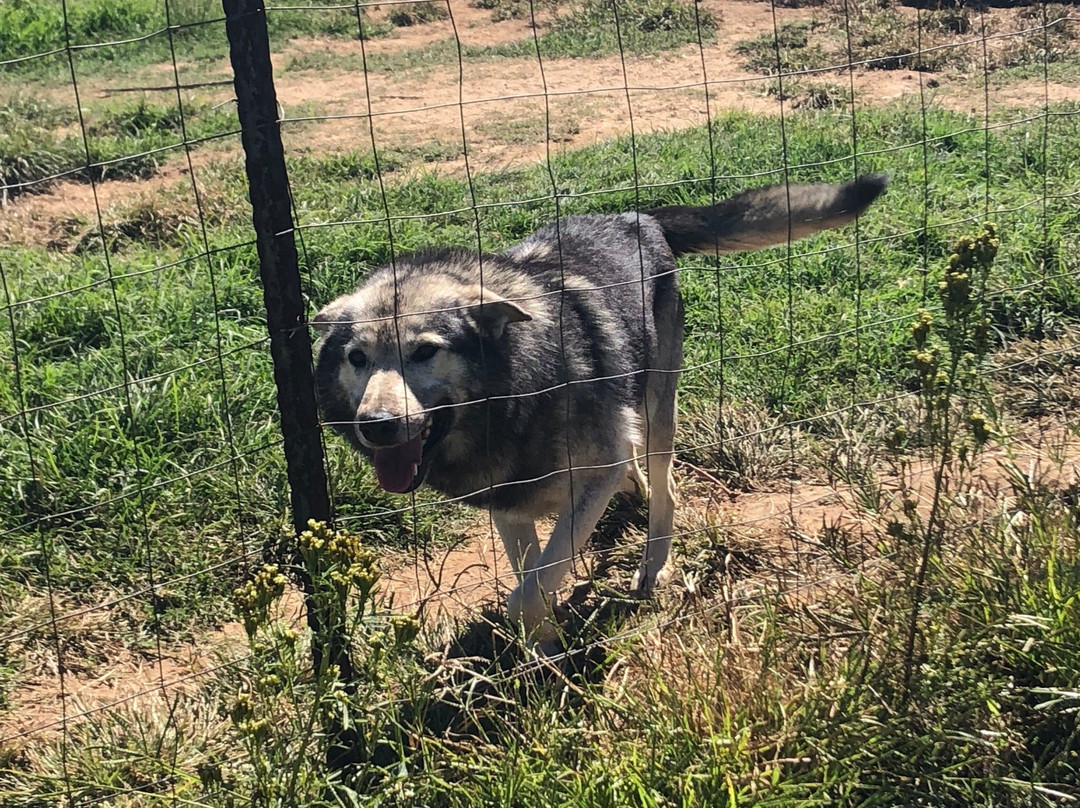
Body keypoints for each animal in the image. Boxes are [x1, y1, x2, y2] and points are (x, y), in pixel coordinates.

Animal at [313, 174, 888, 639]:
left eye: (425, 351)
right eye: (358, 358)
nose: (377, 427)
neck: (515, 397)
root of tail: (639, 218)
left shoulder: (589, 483)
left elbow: (528, 593)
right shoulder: (510, 505)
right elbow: (530, 580)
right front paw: (544, 658)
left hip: (658, 411)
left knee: (665, 487)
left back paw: (654, 566)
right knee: (634, 462)